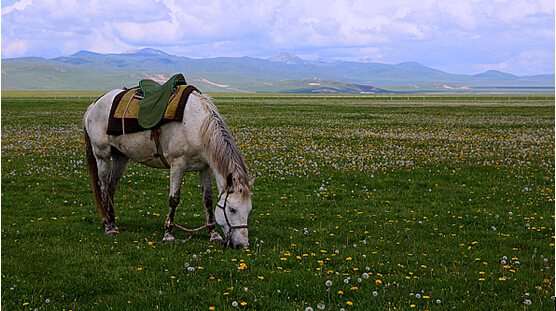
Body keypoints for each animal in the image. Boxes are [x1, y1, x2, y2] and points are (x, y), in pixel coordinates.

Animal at [82, 88, 256, 249]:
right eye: (232, 209)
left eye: (249, 210)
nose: (242, 245)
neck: (197, 126)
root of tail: (93, 105)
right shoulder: (178, 163)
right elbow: (174, 199)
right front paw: (168, 234)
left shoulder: (206, 168)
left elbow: (208, 199)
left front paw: (213, 234)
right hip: (102, 155)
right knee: (103, 187)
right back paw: (108, 226)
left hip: (120, 156)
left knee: (111, 187)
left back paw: (113, 222)